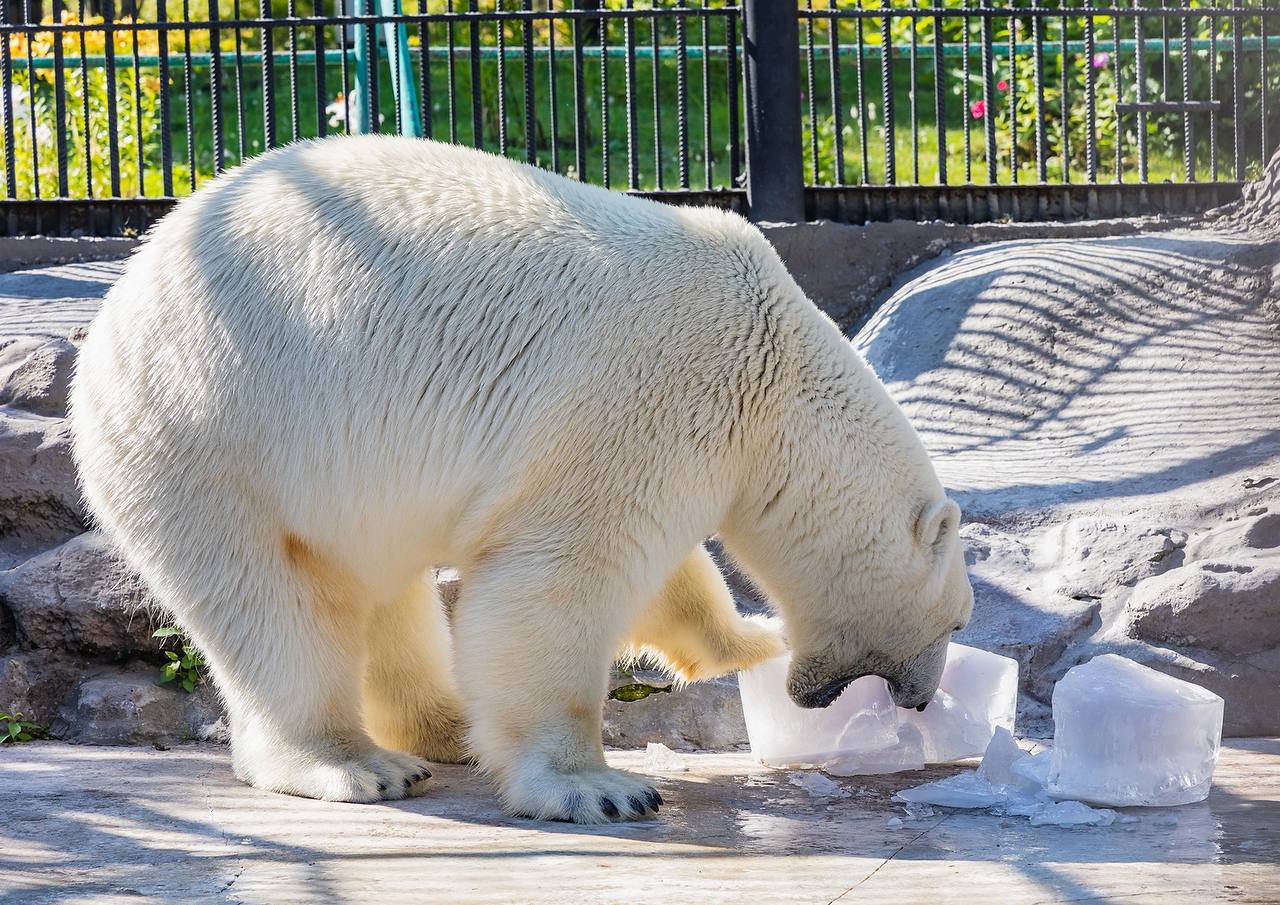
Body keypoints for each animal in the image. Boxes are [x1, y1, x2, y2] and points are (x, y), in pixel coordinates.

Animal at [67, 134, 967, 819]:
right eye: (956, 618)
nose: (923, 700)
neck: (777, 376)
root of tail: (115, 309)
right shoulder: (651, 391)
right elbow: (560, 580)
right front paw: (599, 786)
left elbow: (666, 574)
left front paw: (751, 638)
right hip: (212, 435)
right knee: (278, 602)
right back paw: (357, 762)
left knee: (384, 592)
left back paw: (443, 725)